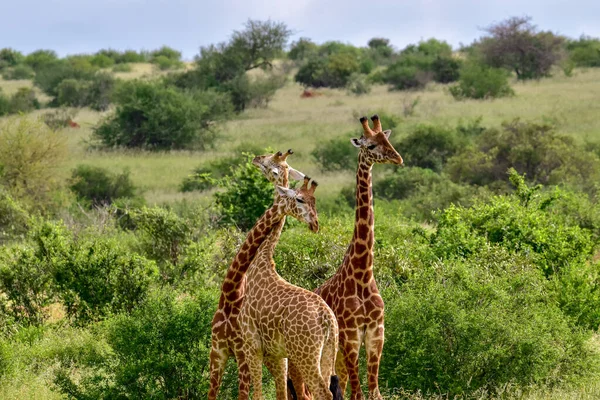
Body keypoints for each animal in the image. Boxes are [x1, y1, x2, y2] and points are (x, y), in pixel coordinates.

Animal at [207, 149, 310, 400]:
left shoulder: (243, 354)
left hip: (291, 362)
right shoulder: (217, 352)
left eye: (269, 162)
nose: (255, 158)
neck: (231, 295)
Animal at [238, 177, 342, 400]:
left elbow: (257, 394)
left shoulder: (252, 346)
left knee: (323, 393)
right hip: (329, 351)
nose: (315, 224)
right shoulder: (278, 355)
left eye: (313, 201)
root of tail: (327, 319)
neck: (260, 264)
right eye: (301, 199)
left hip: (305, 355)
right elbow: (281, 394)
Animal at [290, 114, 404, 398]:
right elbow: (359, 393)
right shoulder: (351, 337)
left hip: (335, 359)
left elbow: (374, 392)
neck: (363, 273)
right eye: (371, 145)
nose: (398, 158)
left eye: (387, 140)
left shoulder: (376, 334)